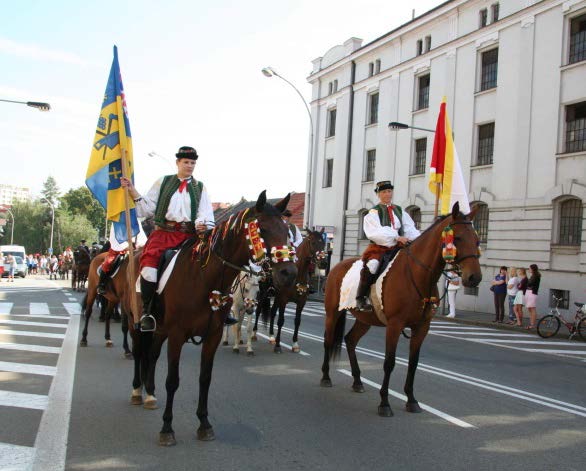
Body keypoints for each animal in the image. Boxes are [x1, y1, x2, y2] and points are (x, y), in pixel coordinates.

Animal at [123, 192, 296, 446]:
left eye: (286, 230)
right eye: (262, 229)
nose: (289, 274)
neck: (203, 278)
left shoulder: (212, 335)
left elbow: (205, 378)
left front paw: (204, 424)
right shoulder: (177, 335)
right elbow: (172, 380)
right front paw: (167, 427)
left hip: (160, 329)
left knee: (152, 355)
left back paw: (150, 394)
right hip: (136, 323)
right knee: (139, 353)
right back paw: (137, 391)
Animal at [320, 203, 480, 416]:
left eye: (477, 239)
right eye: (459, 237)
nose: (474, 277)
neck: (417, 275)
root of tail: (336, 267)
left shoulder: (422, 327)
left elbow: (413, 363)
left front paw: (411, 400)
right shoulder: (395, 325)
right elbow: (389, 362)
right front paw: (384, 403)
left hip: (364, 320)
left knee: (351, 340)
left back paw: (357, 381)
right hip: (332, 313)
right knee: (328, 341)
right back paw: (326, 377)